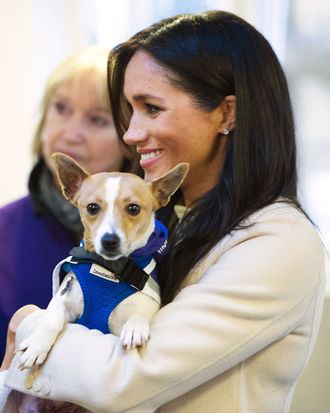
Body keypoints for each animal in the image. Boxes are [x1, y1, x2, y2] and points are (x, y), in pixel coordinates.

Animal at [18, 153, 188, 368]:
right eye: (92, 207)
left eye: (133, 208)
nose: (109, 240)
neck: (109, 269)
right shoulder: (63, 301)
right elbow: (51, 319)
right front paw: (37, 345)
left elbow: (139, 314)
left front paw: (136, 327)